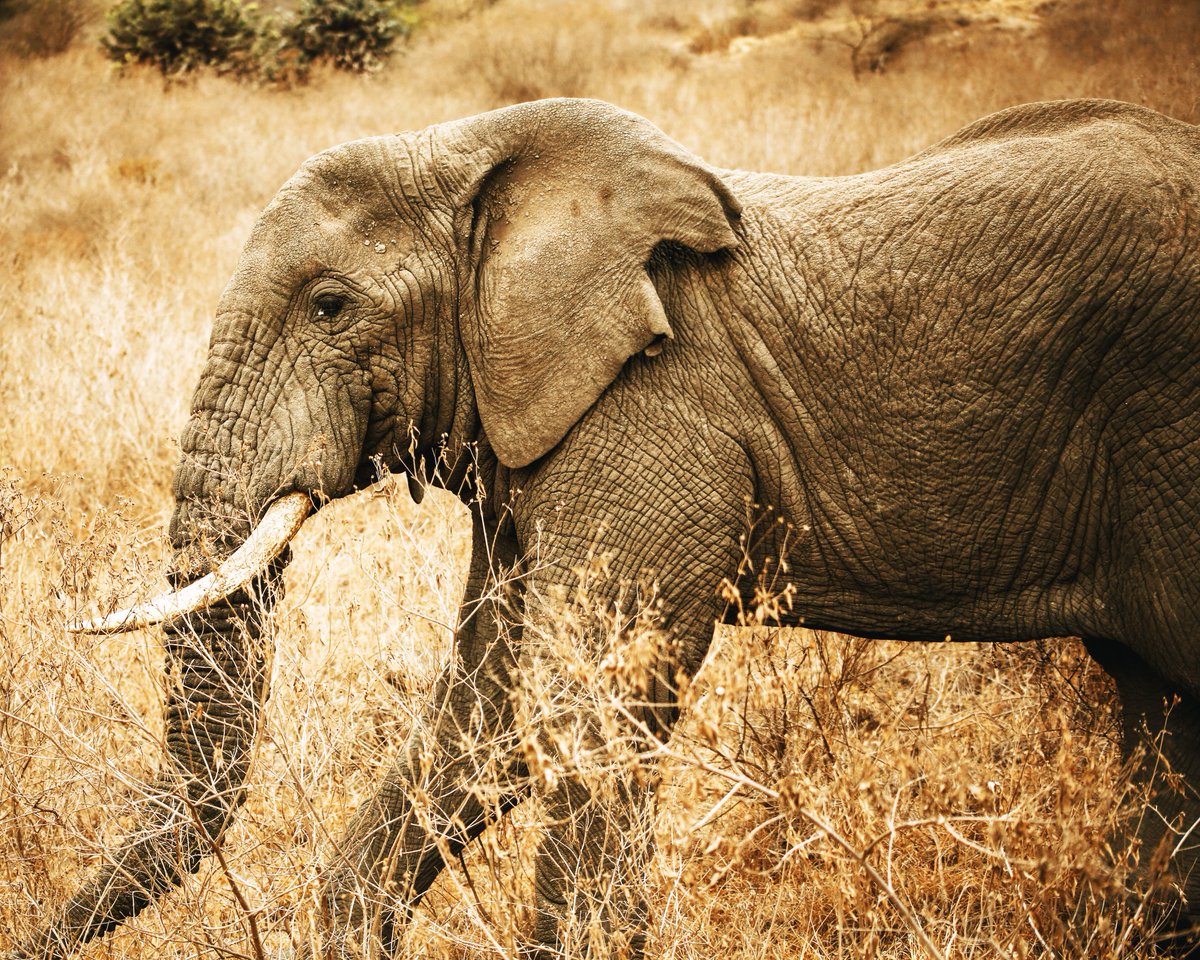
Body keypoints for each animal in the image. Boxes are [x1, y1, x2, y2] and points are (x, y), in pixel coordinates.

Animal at [21, 95, 1200, 950]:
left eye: (328, 305)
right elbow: (490, 708)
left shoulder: (653, 402)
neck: (475, 156)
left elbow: (589, 699)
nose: (37, 937)